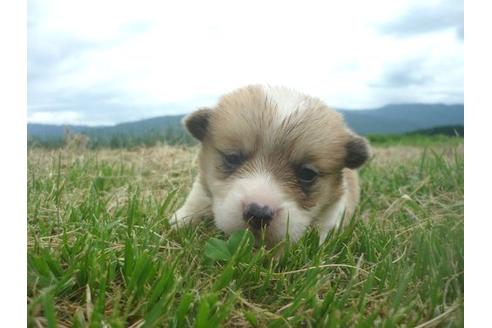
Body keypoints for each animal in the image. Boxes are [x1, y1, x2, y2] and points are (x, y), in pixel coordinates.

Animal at [173, 86, 368, 245]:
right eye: (232, 158)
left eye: (307, 174)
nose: (258, 213)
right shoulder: (202, 186)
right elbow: (197, 199)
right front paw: (180, 220)